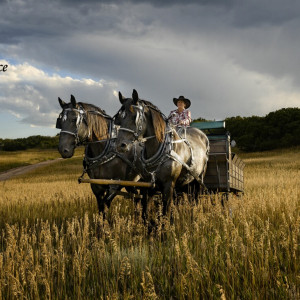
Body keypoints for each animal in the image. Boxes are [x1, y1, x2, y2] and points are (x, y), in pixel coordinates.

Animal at [113, 89, 210, 218]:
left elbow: (165, 213)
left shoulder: (168, 185)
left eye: (135, 116)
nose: (120, 145)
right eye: (119, 117)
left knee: (195, 199)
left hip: (199, 179)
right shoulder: (148, 185)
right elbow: (145, 214)